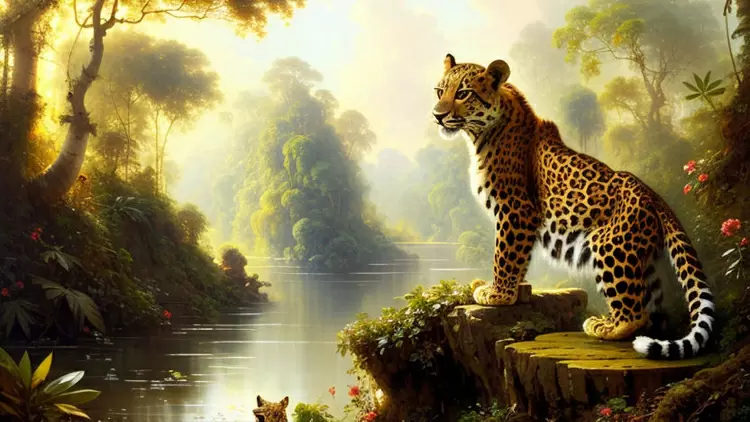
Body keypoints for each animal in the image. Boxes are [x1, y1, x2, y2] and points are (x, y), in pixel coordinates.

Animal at [431, 53, 715, 360]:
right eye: (439, 91)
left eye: (463, 93)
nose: (437, 115)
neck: (480, 135)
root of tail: (654, 195)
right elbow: (519, 260)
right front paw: (513, 289)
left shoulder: (516, 210)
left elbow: (505, 255)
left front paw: (498, 294)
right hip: (643, 259)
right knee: (651, 309)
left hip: (609, 246)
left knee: (634, 312)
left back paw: (604, 327)